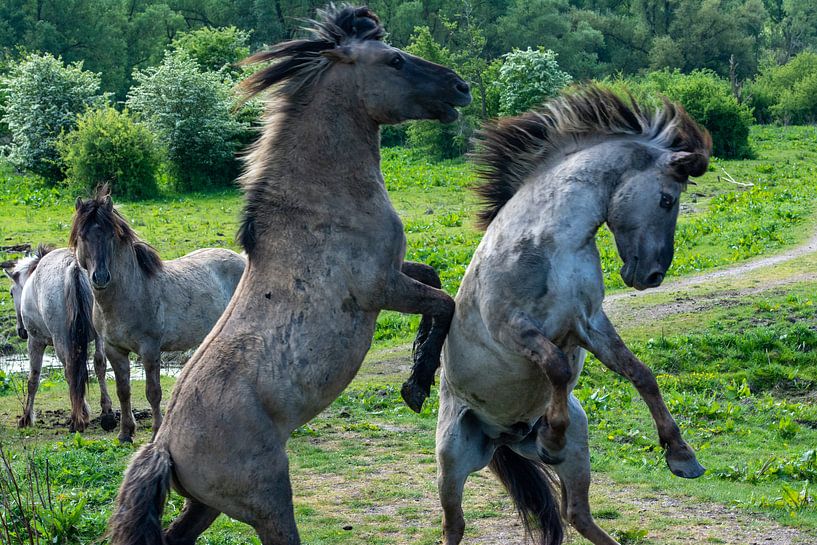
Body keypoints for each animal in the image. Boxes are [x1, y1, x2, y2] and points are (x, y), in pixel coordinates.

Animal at [4, 245, 114, 432]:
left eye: (11, 293)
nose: (21, 331)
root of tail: (74, 266)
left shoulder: (35, 341)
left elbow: (33, 379)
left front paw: (26, 418)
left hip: (60, 340)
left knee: (71, 369)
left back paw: (77, 420)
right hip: (99, 334)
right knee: (99, 363)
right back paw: (106, 411)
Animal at [69, 189, 246, 443]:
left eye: (111, 236)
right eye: (83, 236)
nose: (100, 277)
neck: (130, 294)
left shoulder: (150, 349)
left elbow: (153, 392)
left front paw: (155, 432)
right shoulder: (114, 349)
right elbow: (123, 391)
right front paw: (125, 433)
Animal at [107, 6, 470, 544]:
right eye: (395, 60)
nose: (461, 88)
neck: (321, 203)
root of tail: (164, 446)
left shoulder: (393, 274)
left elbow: (436, 279)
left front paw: (416, 371)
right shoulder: (379, 288)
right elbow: (444, 302)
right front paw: (416, 387)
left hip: (206, 506)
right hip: (269, 503)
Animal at [434, 87, 712, 545]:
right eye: (667, 199)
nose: (653, 275)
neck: (551, 242)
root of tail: (503, 439)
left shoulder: (588, 323)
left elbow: (640, 373)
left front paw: (682, 456)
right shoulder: (513, 328)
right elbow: (557, 367)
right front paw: (552, 437)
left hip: (580, 456)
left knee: (576, 514)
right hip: (452, 461)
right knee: (454, 525)